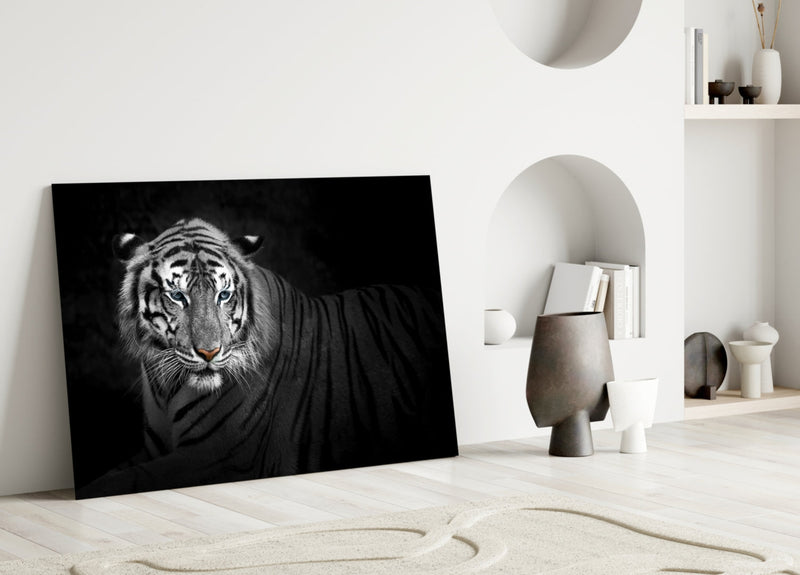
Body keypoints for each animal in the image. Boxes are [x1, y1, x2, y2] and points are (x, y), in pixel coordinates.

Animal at [81, 218, 456, 498]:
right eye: (177, 296)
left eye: (224, 295)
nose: (209, 352)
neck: (166, 384)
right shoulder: (155, 448)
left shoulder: (217, 454)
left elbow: (127, 480)